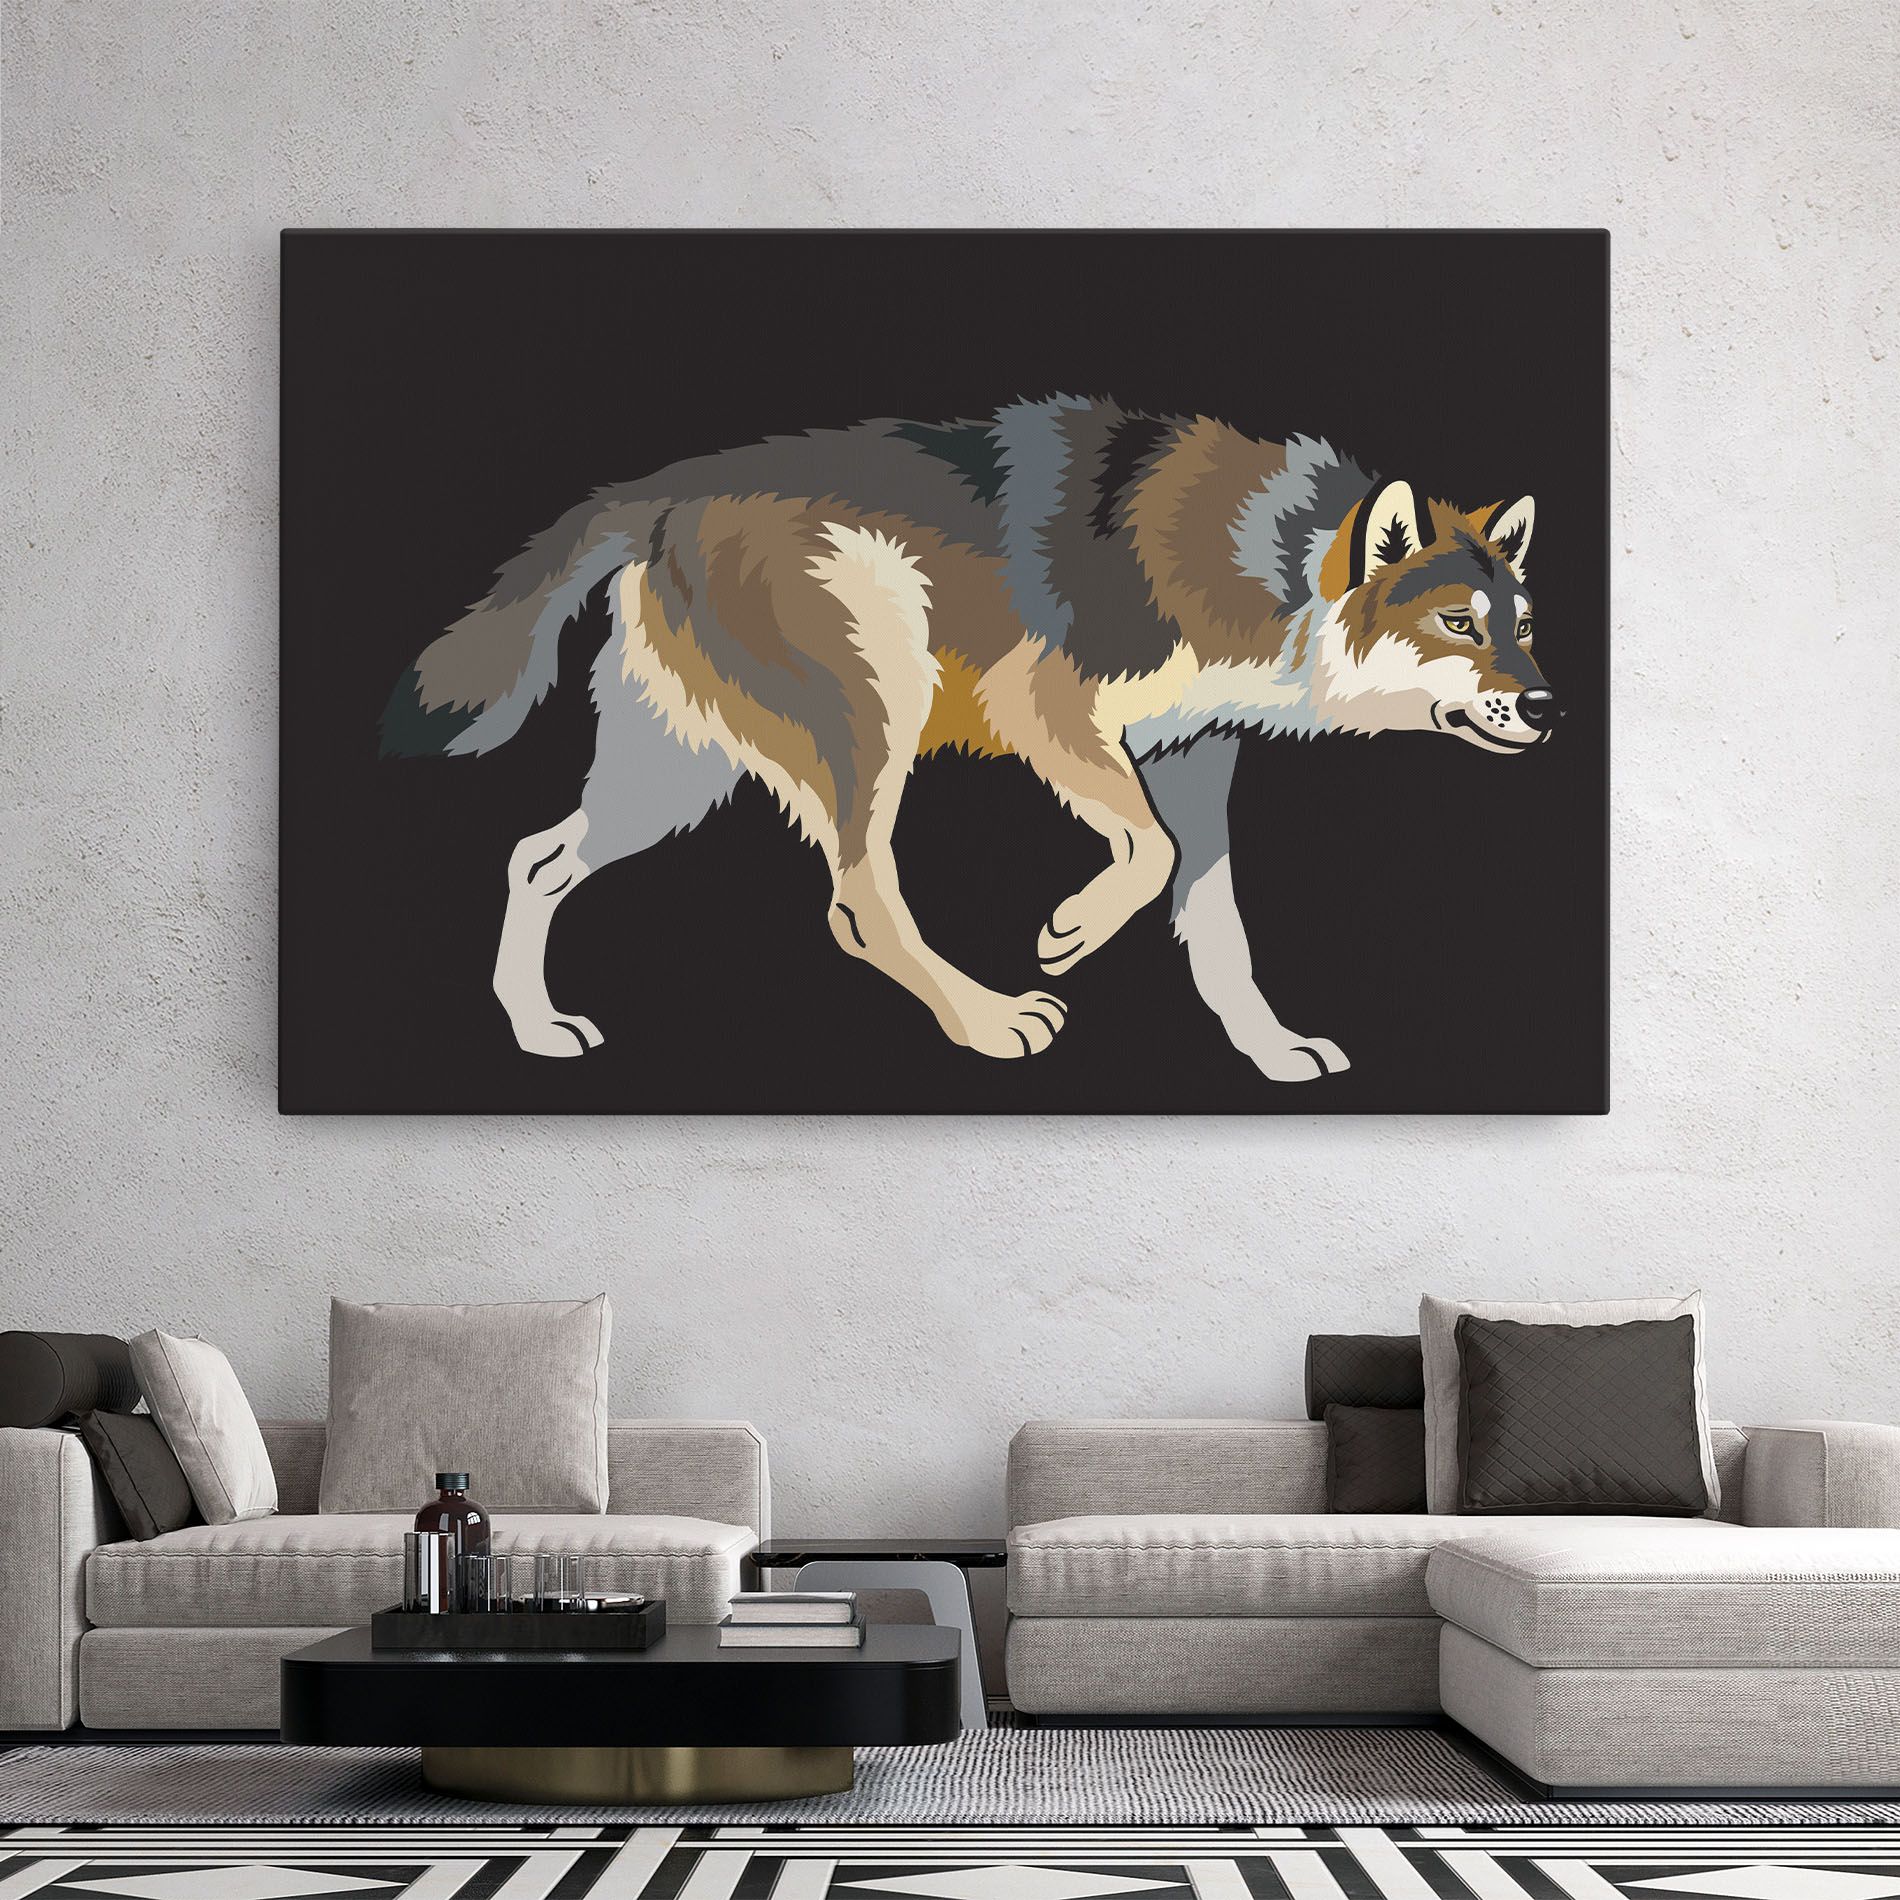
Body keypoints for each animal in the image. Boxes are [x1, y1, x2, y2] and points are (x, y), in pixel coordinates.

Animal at [382, 397, 1556, 1082]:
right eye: (1459, 626)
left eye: (1524, 628)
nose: (1549, 709)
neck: (1278, 566)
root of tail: (654, 490)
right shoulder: (1045, 704)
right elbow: (1148, 855)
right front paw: (1069, 931)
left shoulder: (1193, 756)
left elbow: (1216, 922)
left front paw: (1270, 1051)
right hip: (873, 710)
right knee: (857, 900)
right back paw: (988, 1022)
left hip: (673, 779)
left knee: (536, 858)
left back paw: (534, 1030)